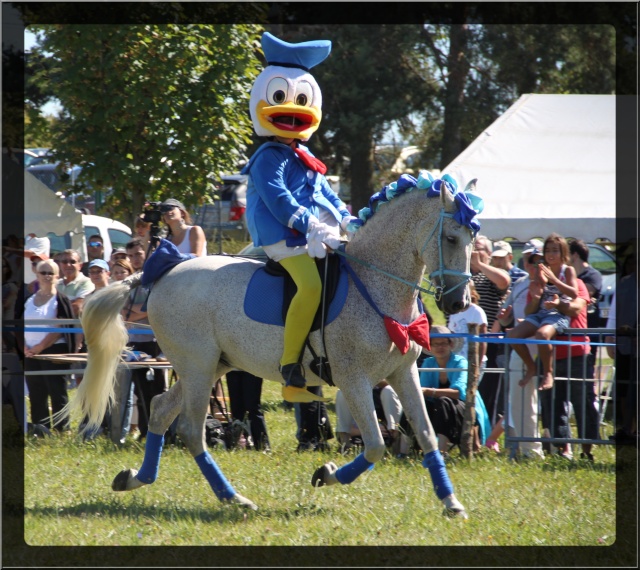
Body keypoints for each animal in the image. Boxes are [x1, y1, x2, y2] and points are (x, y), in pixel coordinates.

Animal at [66, 175, 476, 516]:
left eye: (472, 240)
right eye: (451, 238)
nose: (457, 303)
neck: (375, 284)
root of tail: (162, 272)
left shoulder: (402, 373)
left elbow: (426, 434)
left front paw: (452, 503)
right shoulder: (353, 379)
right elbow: (374, 444)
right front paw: (326, 474)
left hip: (210, 366)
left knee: (162, 410)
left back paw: (136, 479)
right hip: (198, 368)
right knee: (191, 430)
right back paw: (234, 498)